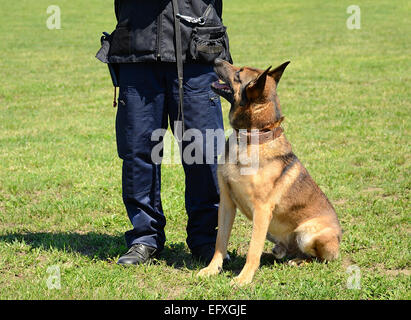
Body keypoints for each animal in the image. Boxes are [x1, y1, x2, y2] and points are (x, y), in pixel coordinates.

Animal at [198, 58, 342, 284]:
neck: (250, 137)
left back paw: (299, 261)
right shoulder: (227, 203)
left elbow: (252, 249)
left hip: (307, 233)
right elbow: (220, 242)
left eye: (238, 73)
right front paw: (212, 269)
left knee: (318, 258)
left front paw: (243, 279)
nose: (216, 59)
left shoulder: (262, 210)